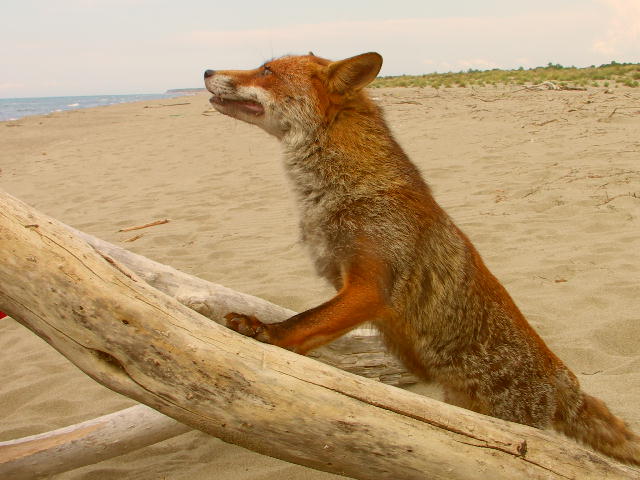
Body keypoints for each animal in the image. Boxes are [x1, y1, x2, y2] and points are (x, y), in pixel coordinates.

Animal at [205, 51, 640, 464]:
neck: (342, 191)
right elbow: (314, 332)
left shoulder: (370, 288)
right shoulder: (344, 280)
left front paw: (265, 330)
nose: (206, 71)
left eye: (266, 71)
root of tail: (564, 377)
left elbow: (303, 321)